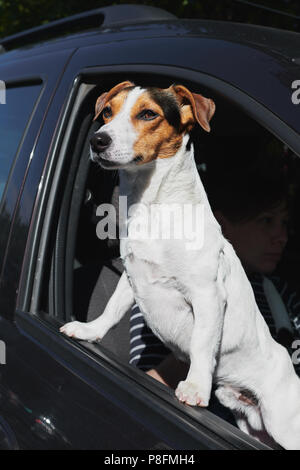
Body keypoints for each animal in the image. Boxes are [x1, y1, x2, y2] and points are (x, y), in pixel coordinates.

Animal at [59, 82, 300, 450]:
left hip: (284, 423)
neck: (154, 207)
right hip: (253, 423)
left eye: (148, 114)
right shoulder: (131, 277)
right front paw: (90, 331)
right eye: (108, 112)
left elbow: (201, 343)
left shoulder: (207, 296)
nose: (97, 140)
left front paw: (197, 387)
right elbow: (112, 311)